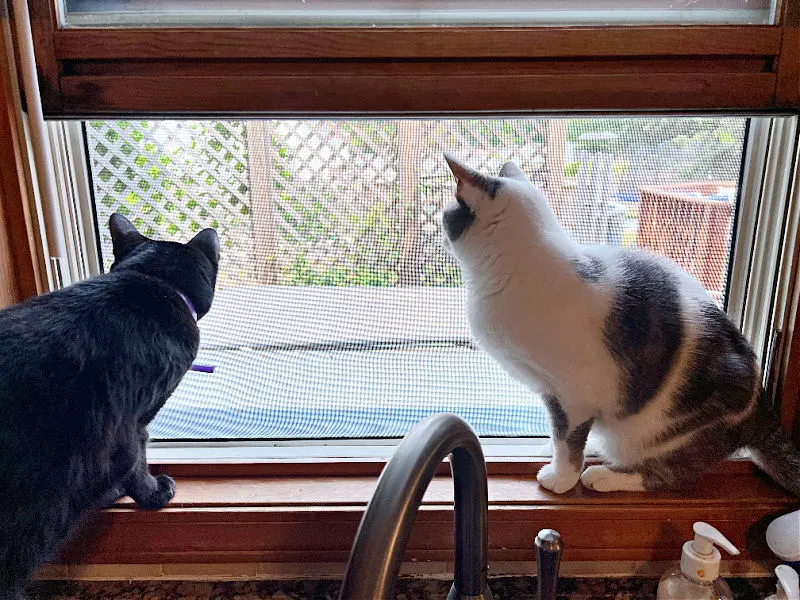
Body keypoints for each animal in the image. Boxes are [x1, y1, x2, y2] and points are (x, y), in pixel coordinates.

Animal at [440, 152, 800, 494]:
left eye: (447, 213)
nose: (441, 226)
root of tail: (763, 410)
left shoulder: (574, 396)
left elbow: (568, 441)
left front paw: (561, 479)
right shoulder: (549, 391)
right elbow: (560, 434)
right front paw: (554, 454)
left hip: (673, 431)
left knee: (665, 474)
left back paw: (603, 476)